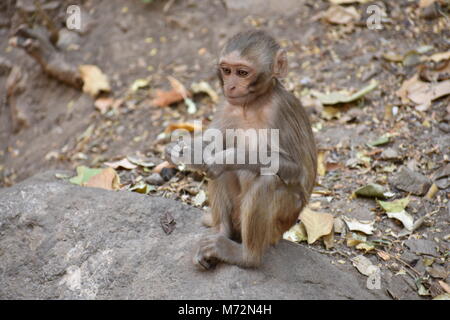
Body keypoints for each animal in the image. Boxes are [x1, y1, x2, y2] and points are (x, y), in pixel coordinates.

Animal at [165, 30, 316, 270]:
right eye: (227, 71)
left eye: (243, 73)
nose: (230, 86)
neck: (251, 105)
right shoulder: (226, 106)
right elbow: (212, 145)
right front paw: (182, 148)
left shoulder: (280, 110)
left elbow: (294, 168)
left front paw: (226, 158)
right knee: (221, 176)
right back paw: (222, 231)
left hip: (281, 222)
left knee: (266, 179)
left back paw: (246, 256)